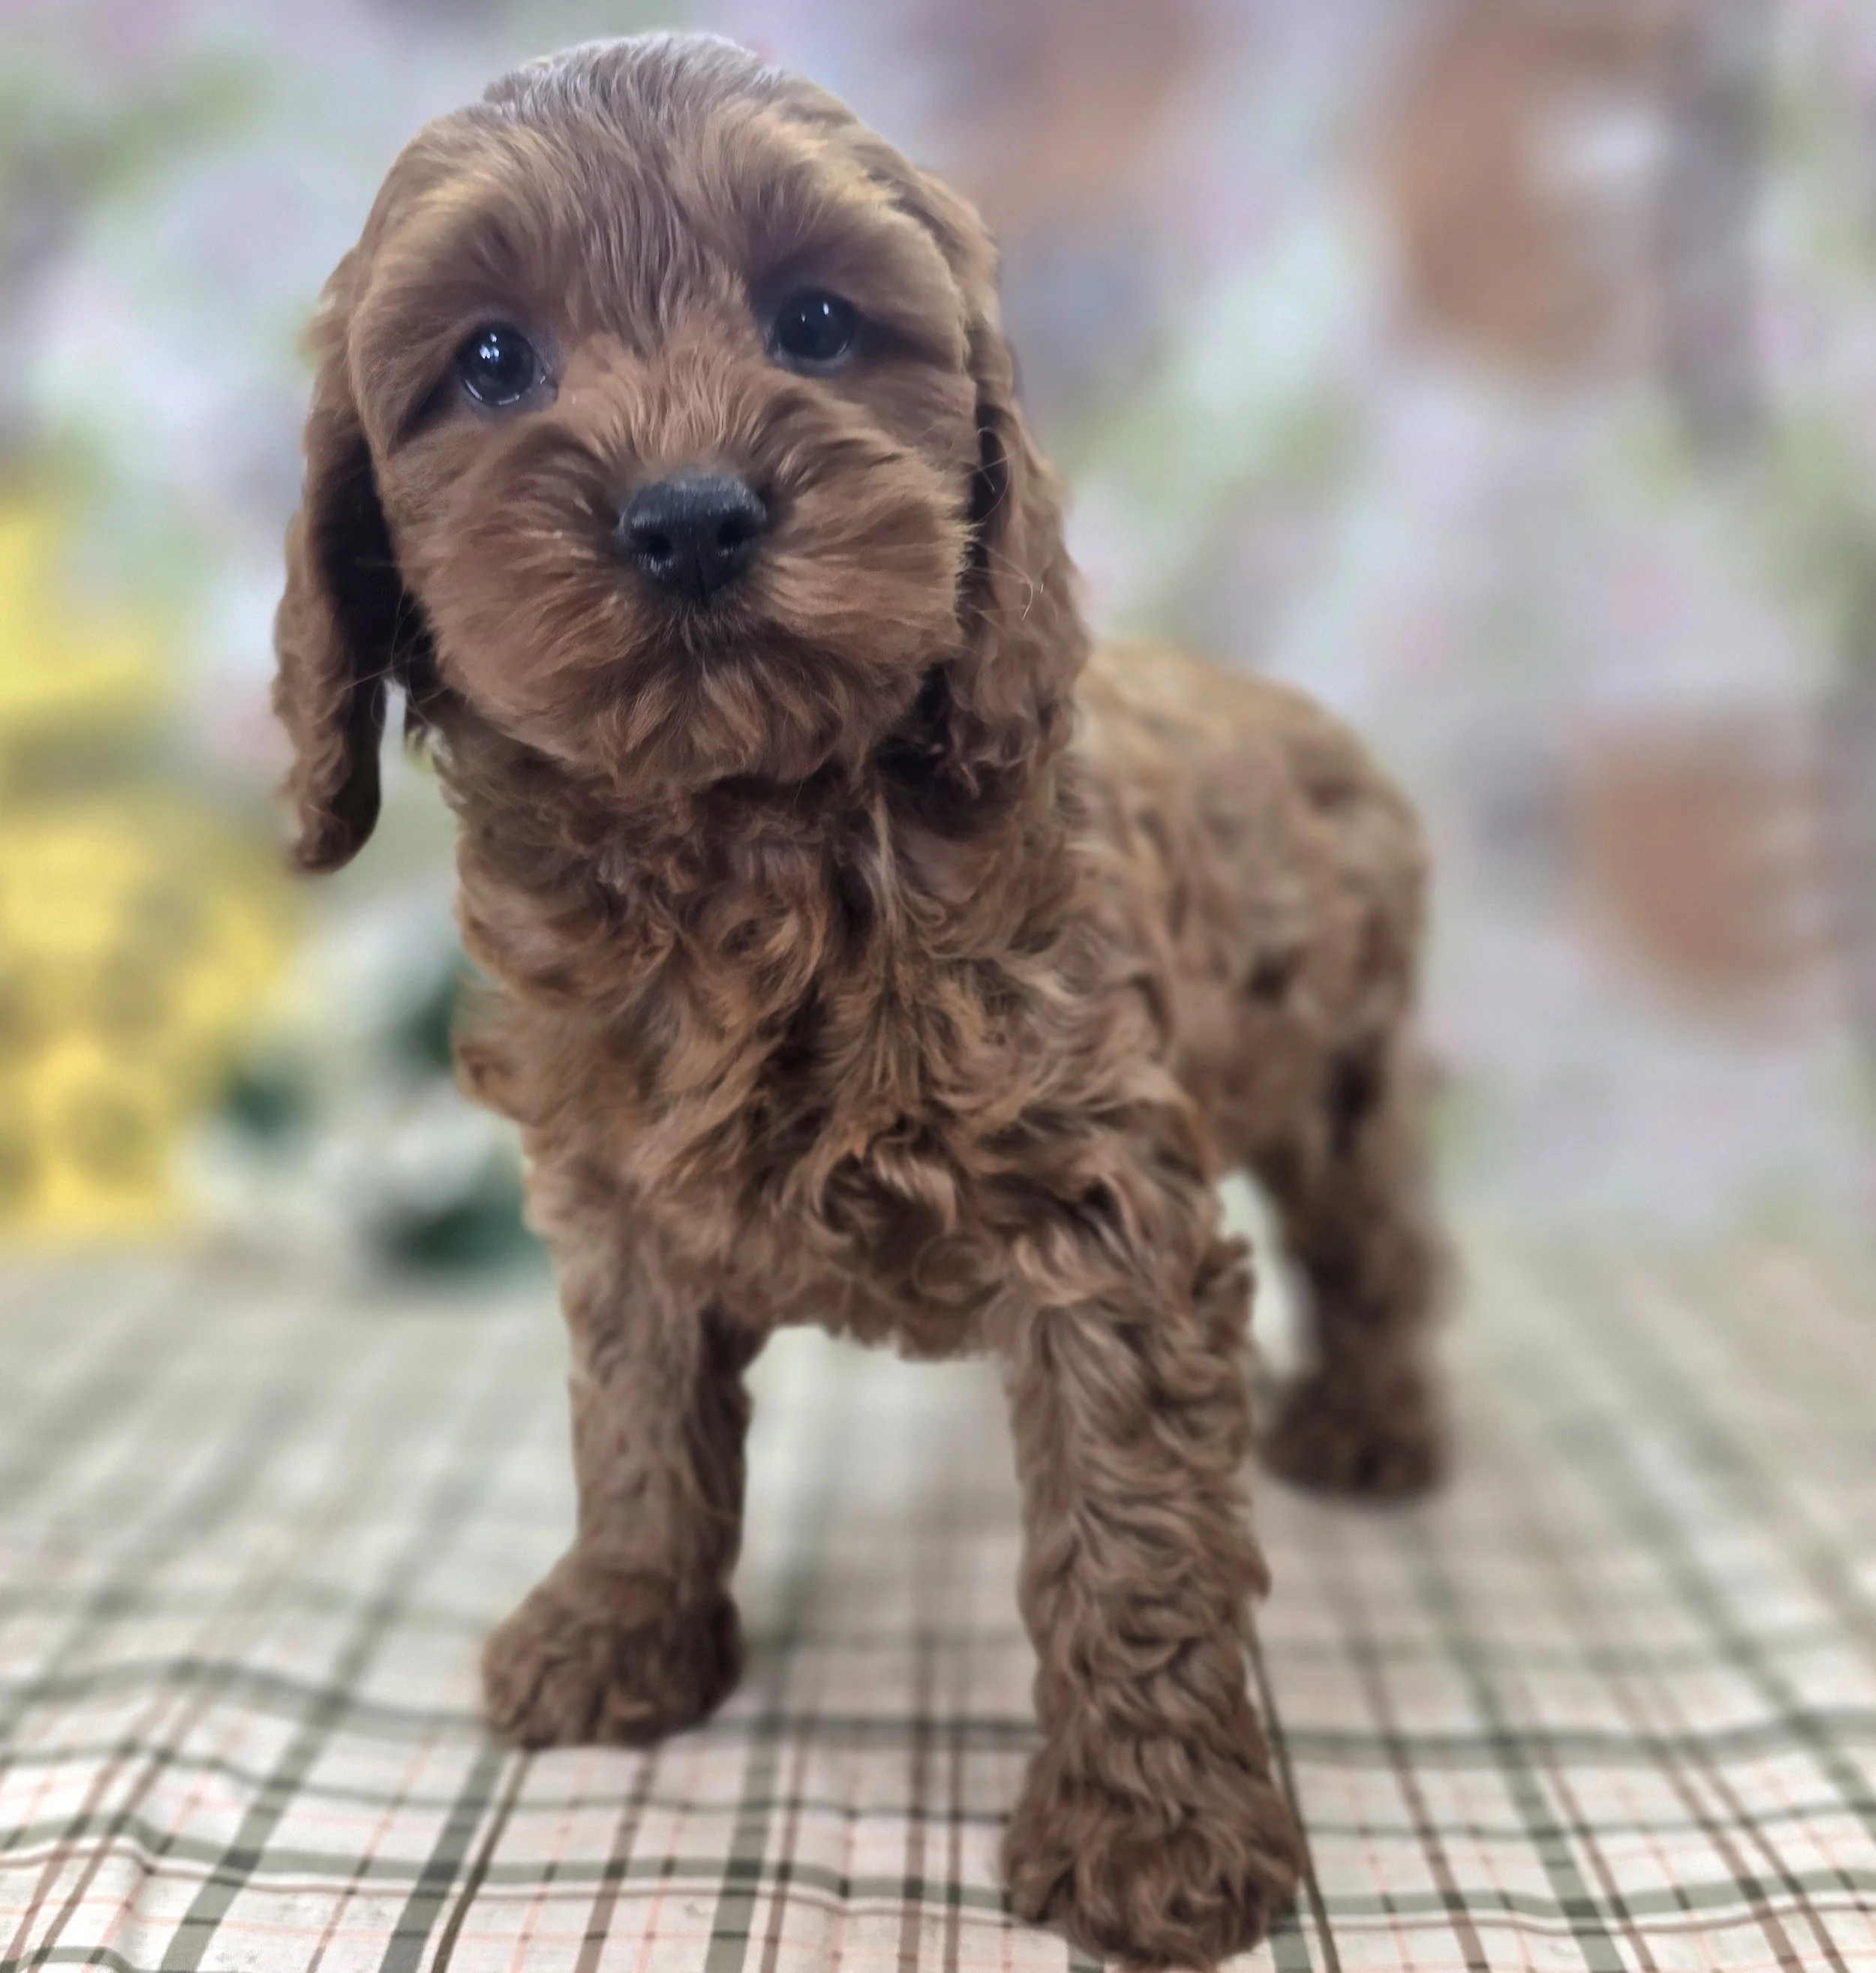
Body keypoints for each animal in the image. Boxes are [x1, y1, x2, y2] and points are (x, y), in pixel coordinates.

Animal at [271, 33, 1446, 1967]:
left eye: (816, 323)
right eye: (492, 360)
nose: (689, 515)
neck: (750, 846)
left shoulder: (1106, 1206)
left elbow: (1129, 1525)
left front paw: (1154, 1830)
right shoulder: (621, 1205)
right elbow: (635, 1424)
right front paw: (624, 1626)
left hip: (1347, 1066)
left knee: (1378, 1244)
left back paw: (1375, 1423)